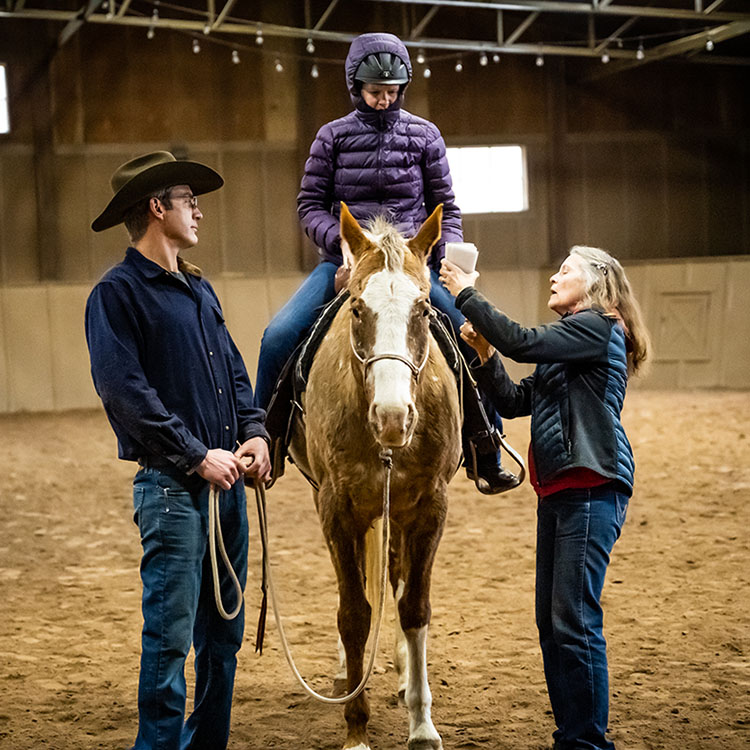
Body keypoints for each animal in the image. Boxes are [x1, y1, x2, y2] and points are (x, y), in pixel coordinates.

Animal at [290, 204, 462, 750]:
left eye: (423, 310)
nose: (392, 416)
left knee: (394, 576)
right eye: (357, 309)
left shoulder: (429, 507)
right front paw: (356, 728)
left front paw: (422, 725)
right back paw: (348, 672)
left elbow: (413, 608)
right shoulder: (336, 509)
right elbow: (354, 612)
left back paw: (404, 672)